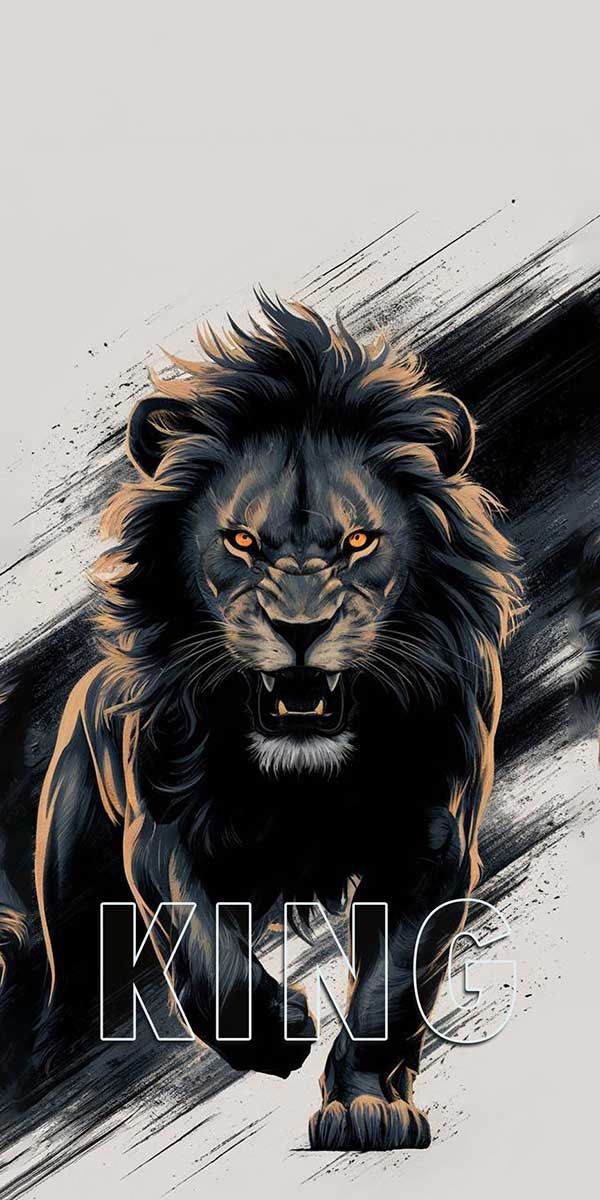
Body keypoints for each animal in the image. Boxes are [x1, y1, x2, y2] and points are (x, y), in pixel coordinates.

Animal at [31, 292, 521, 1150]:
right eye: (240, 541)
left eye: (358, 541)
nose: (300, 627)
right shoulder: (161, 827)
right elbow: (203, 952)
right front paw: (272, 1031)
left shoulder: (433, 839)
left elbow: (391, 984)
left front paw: (366, 1107)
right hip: (75, 910)